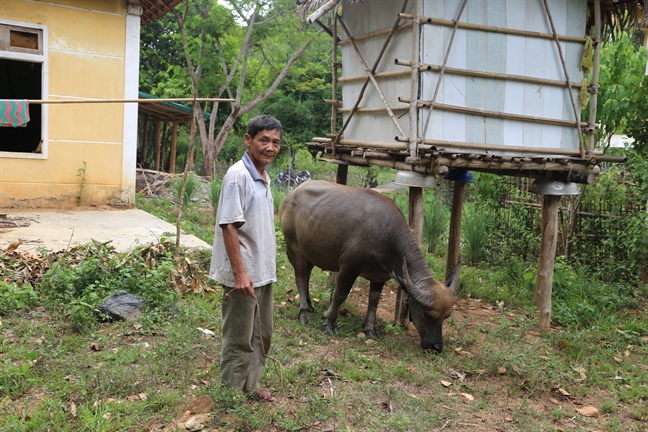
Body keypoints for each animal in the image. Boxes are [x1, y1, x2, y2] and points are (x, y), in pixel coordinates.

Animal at [280, 179, 460, 352]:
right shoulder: (349, 267)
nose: (436, 346)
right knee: (301, 278)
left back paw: (310, 305)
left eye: (446, 317)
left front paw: (370, 328)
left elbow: (374, 301)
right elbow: (340, 295)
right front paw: (328, 323)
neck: (386, 236)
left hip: (309, 253)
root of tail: (290, 197)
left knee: (307, 275)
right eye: (428, 315)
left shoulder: (379, 276)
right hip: (294, 248)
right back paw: (304, 313)